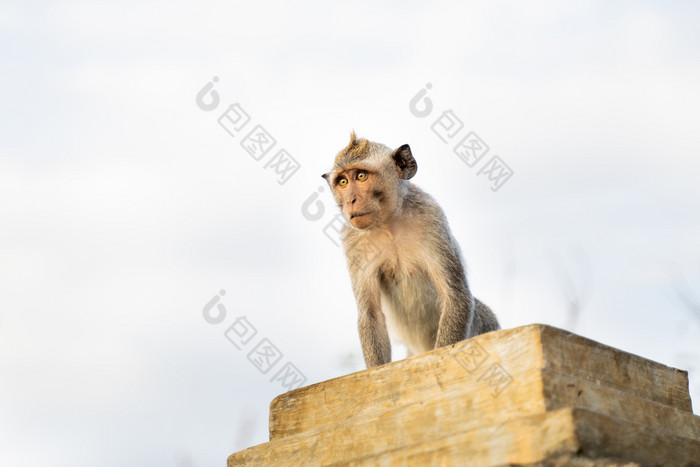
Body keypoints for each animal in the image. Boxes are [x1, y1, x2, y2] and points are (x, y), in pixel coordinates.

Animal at [322, 132, 498, 370]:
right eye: (342, 182)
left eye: (360, 176)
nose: (351, 200)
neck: (388, 224)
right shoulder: (352, 240)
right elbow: (370, 313)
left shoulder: (430, 215)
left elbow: (455, 295)